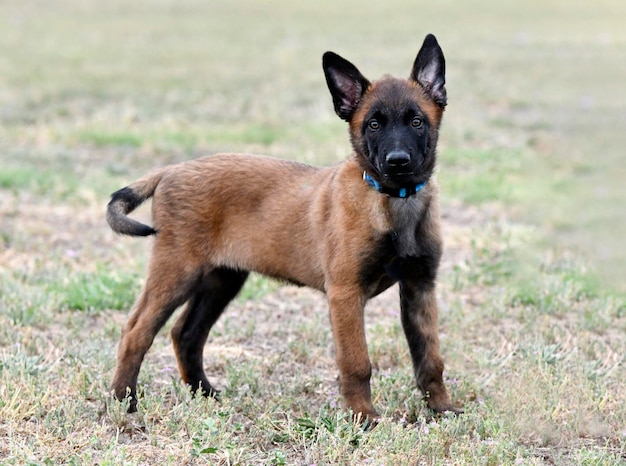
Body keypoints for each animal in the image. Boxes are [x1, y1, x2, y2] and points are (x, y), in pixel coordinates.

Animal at [106, 32, 458, 418]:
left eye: (416, 122)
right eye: (374, 124)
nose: (398, 162)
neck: (394, 200)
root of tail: (170, 169)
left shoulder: (419, 287)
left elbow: (430, 358)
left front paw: (442, 409)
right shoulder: (345, 293)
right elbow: (356, 363)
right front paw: (362, 417)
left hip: (221, 279)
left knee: (186, 333)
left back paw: (204, 393)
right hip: (177, 270)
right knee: (136, 331)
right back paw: (123, 401)